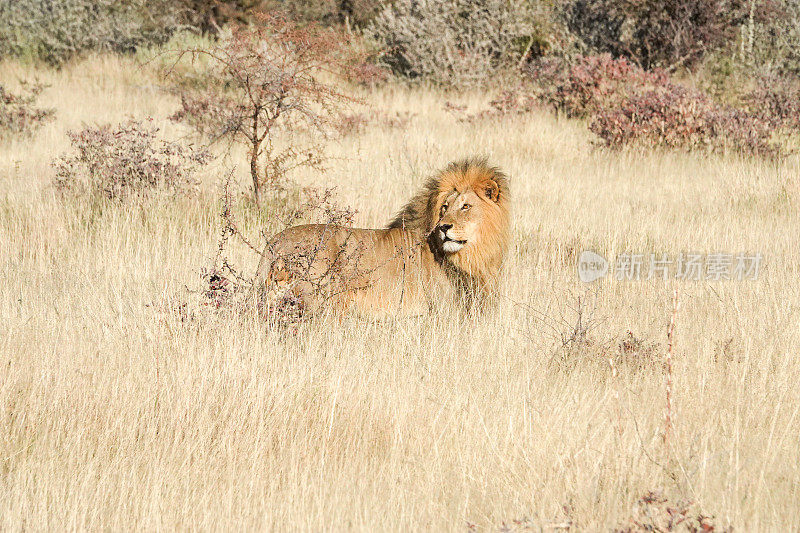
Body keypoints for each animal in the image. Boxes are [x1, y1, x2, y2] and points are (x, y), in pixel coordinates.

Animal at [253, 158, 510, 316]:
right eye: (444, 208)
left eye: (466, 206)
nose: (444, 227)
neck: (473, 255)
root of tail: (275, 242)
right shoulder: (439, 310)